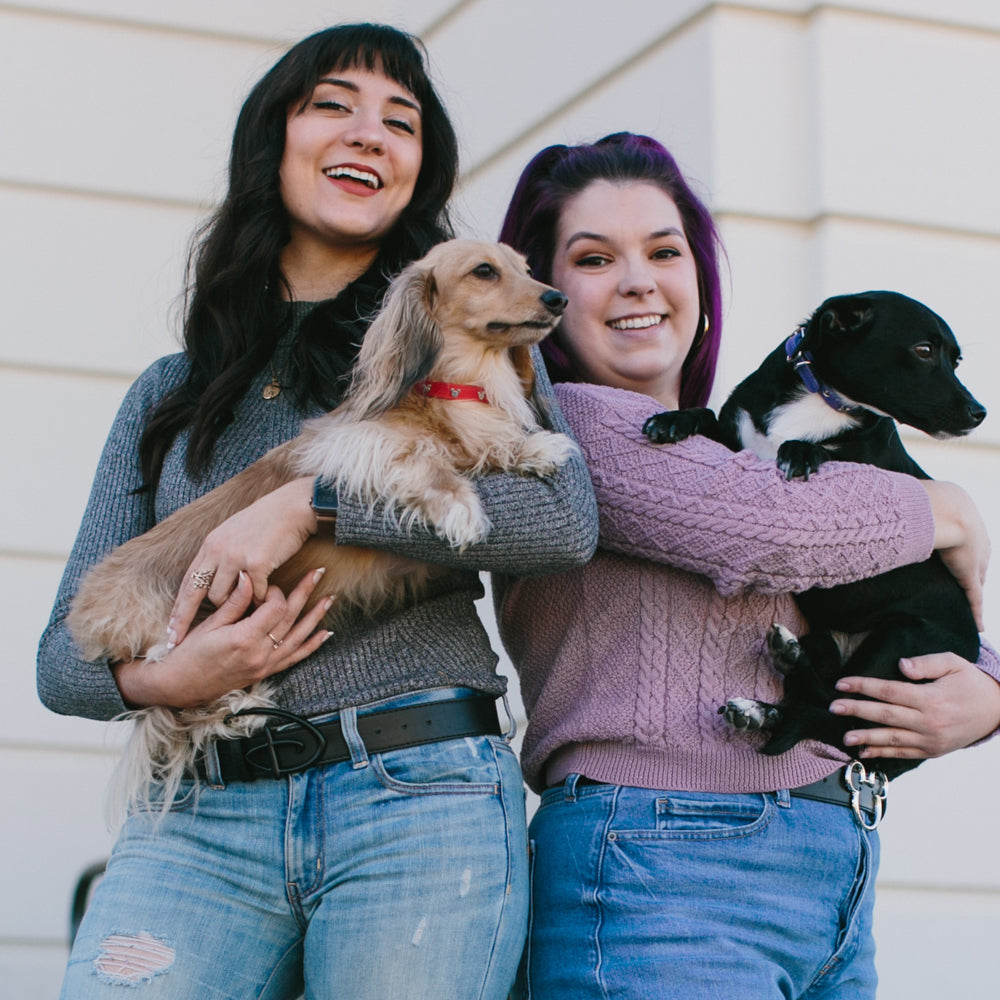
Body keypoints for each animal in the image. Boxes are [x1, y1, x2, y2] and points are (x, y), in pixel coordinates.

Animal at [640, 292, 984, 780]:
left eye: (954, 360)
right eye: (923, 350)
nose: (980, 413)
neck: (824, 400)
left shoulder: (866, 472)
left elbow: (824, 452)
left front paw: (802, 451)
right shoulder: (734, 443)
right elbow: (708, 415)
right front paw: (674, 419)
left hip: (900, 641)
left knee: (836, 716)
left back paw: (778, 681)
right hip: (831, 639)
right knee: (818, 702)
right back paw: (770, 695)